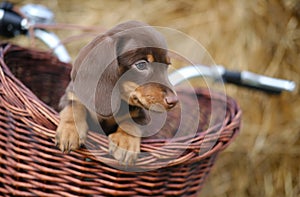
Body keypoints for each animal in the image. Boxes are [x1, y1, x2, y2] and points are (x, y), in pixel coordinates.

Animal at [54, 20, 177, 165]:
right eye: (141, 65)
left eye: (167, 65)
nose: (174, 101)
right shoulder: (69, 95)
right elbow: (73, 106)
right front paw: (70, 130)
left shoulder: (141, 116)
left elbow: (132, 122)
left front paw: (126, 142)